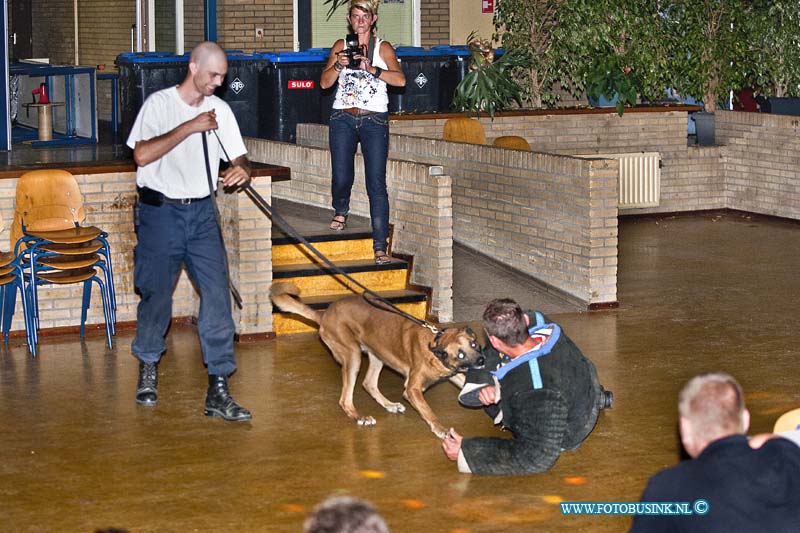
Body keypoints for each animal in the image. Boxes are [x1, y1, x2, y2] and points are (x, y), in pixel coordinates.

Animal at [268, 282, 484, 436]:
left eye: (473, 344)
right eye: (460, 354)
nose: (481, 361)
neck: (436, 344)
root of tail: (323, 315)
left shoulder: (455, 375)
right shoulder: (413, 389)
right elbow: (428, 410)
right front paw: (440, 429)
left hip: (378, 354)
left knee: (368, 383)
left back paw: (388, 405)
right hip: (353, 354)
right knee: (345, 399)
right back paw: (360, 416)